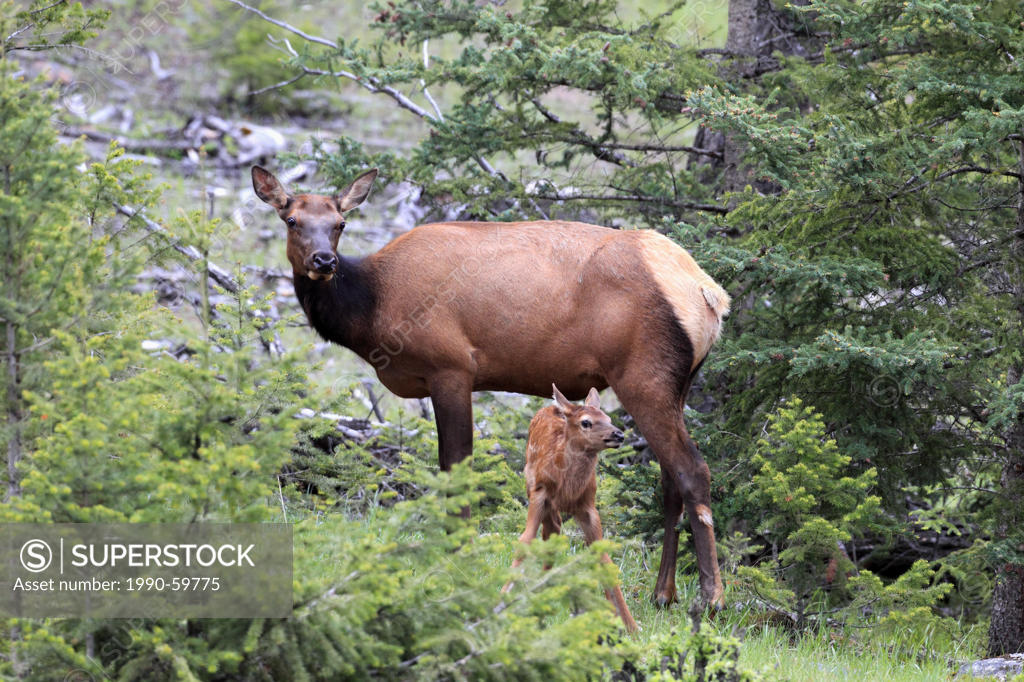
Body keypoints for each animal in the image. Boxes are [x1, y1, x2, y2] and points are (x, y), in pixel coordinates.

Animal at [504, 385, 638, 632]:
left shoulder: (587, 505)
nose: (619, 434)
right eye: (586, 422)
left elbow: (603, 557)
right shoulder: (539, 494)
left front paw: (628, 624)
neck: (567, 488)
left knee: (554, 533)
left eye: (608, 417)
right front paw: (503, 597)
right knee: (550, 532)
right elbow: (525, 541)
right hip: (532, 488)